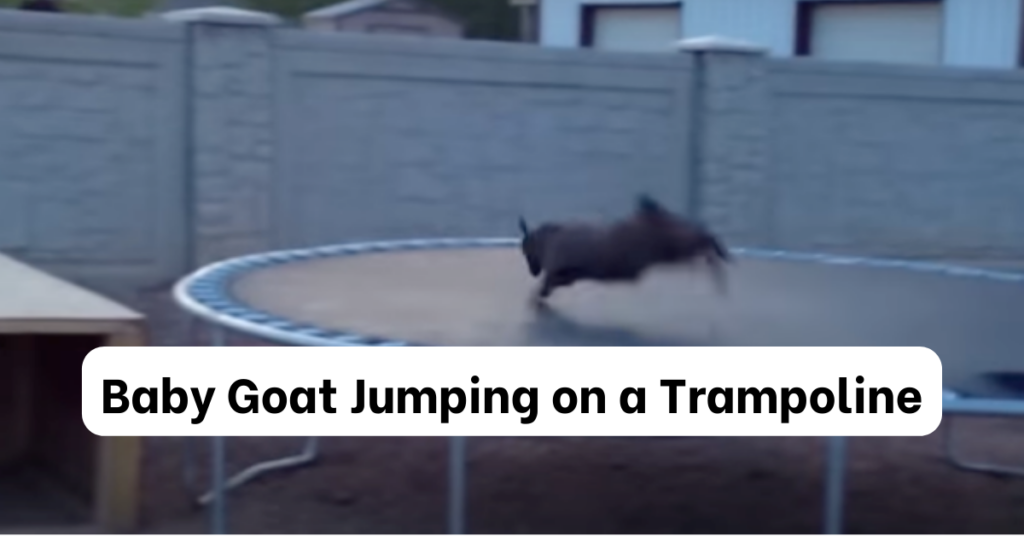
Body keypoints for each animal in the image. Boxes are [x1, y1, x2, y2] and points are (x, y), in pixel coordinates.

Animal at [516, 195, 733, 305]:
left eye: (525, 252)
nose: (532, 271)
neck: (548, 237)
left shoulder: (560, 265)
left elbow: (549, 279)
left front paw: (538, 294)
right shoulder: (571, 273)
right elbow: (555, 281)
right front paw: (541, 295)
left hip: (674, 245)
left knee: (702, 239)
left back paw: (720, 256)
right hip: (672, 249)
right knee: (699, 241)